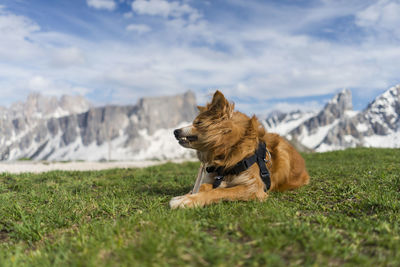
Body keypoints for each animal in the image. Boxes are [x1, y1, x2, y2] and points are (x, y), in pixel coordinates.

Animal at [169, 90, 310, 209]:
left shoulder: (254, 187)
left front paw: (188, 200)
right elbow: (203, 186)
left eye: (197, 123)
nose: (175, 131)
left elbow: (219, 191)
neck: (232, 149)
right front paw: (186, 195)